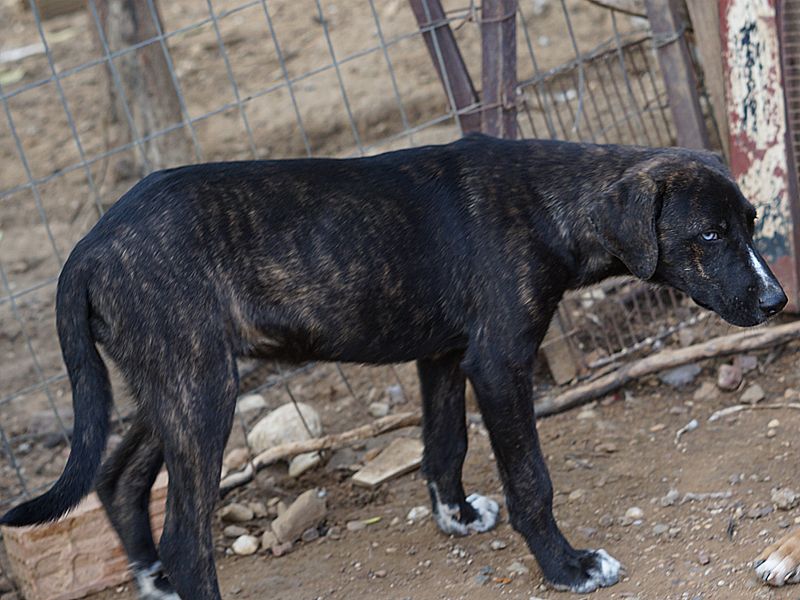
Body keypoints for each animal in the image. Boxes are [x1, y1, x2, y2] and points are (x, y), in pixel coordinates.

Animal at [0, 134, 787, 599]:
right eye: (708, 235)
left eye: (749, 224)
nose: (778, 300)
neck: (550, 200)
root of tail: (88, 248)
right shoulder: (499, 362)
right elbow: (531, 480)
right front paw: (568, 567)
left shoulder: (442, 354)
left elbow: (444, 446)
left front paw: (458, 516)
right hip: (202, 386)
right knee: (189, 538)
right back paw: (174, 568)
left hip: (173, 380)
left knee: (118, 475)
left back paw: (153, 575)